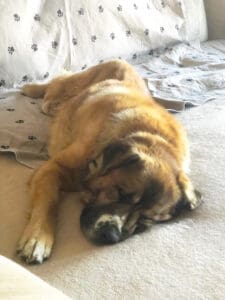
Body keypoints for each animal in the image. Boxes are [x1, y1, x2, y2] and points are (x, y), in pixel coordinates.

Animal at [16, 59, 201, 264]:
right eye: (120, 192)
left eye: (147, 218)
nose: (111, 235)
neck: (148, 136)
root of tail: (124, 61)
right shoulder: (53, 169)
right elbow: (49, 200)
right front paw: (38, 238)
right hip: (74, 83)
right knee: (56, 84)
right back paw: (32, 89)